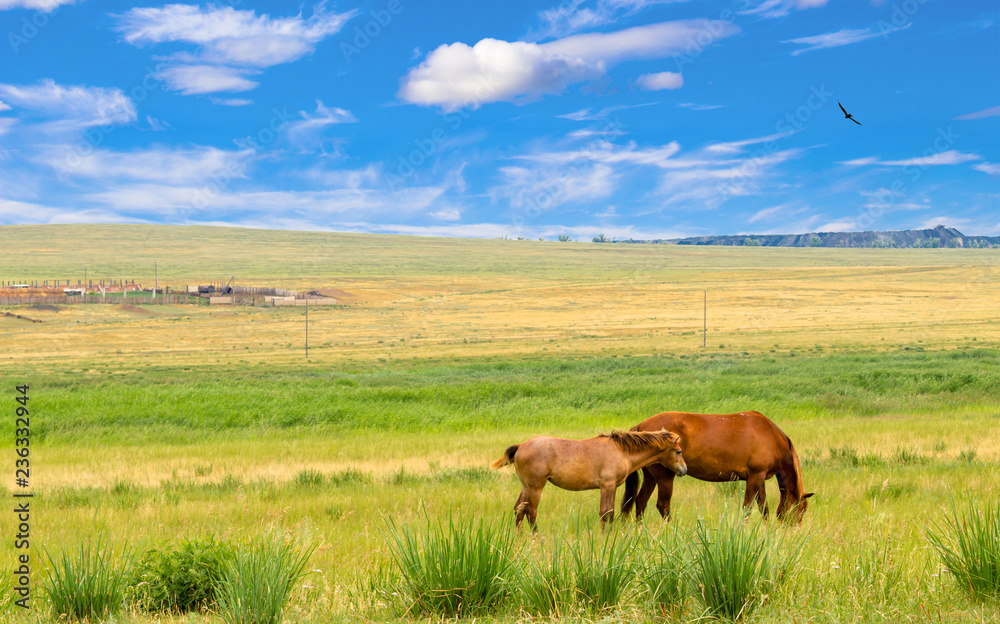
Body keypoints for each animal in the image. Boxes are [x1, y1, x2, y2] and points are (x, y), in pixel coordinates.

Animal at [492, 428, 688, 528]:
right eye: (678, 451)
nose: (684, 469)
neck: (621, 451)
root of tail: (521, 446)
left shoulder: (611, 487)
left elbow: (608, 513)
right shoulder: (607, 486)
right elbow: (606, 513)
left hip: (525, 486)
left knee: (519, 509)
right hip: (536, 487)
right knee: (531, 512)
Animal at [624, 412, 812, 524]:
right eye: (801, 511)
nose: (792, 531)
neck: (771, 436)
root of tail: (640, 427)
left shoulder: (760, 478)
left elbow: (763, 507)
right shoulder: (755, 477)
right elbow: (748, 508)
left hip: (651, 476)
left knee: (641, 501)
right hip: (665, 476)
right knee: (663, 505)